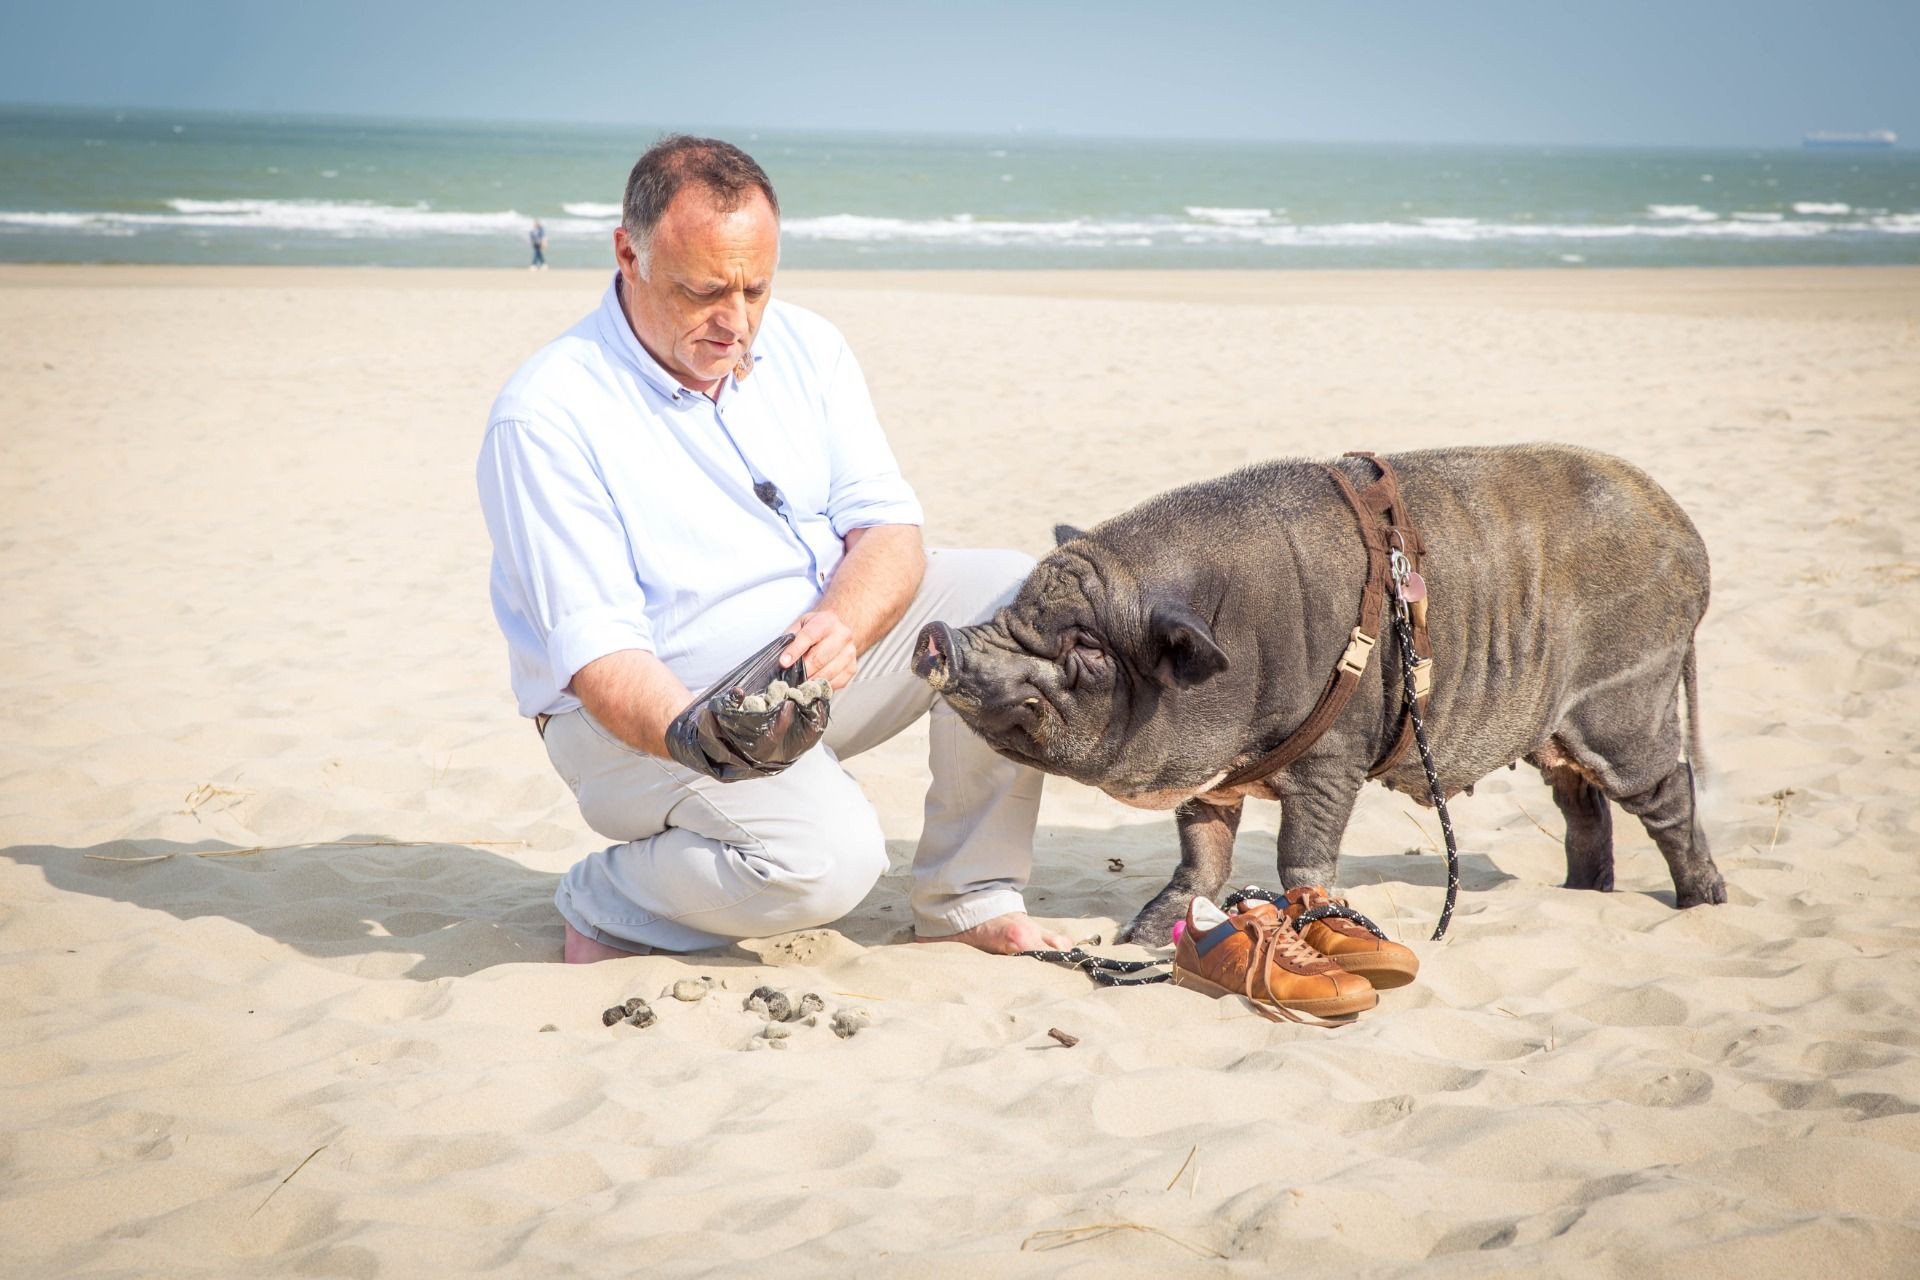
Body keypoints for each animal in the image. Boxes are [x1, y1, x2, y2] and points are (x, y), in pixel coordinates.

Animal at [913, 445, 1728, 948]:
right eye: (1019, 607)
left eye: (1086, 648)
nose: (940, 636)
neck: (1241, 633)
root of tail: (1688, 536)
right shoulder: (1207, 778)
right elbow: (1200, 858)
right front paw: (1139, 938)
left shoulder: (1334, 759)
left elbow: (1300, 860)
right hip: (1553, 733)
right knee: (1581, 802)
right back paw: (1580, 894)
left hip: (1628, 698)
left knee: (1668, 791)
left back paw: (1703, 903)